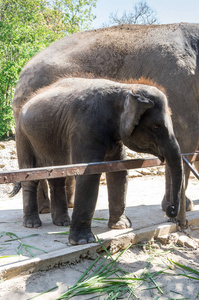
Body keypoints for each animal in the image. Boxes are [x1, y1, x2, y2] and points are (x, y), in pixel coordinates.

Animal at [13, 22, 199, 211]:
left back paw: (67, 204)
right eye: (155, 127)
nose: (172, 209)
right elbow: (186, 136)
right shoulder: (178, 81)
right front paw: (182, 207)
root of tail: (22, 72)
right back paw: (45, 209)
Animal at [15, 78, 183, 246]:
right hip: (22, 135)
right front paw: (83, 241)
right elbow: (88, 174)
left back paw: (62, 223)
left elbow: (119, 172)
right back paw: (32, 224)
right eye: (156, 126)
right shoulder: (84, 128)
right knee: (30, 175)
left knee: (58, 176)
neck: (125, 88)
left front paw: (121, 226)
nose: (171, 210)